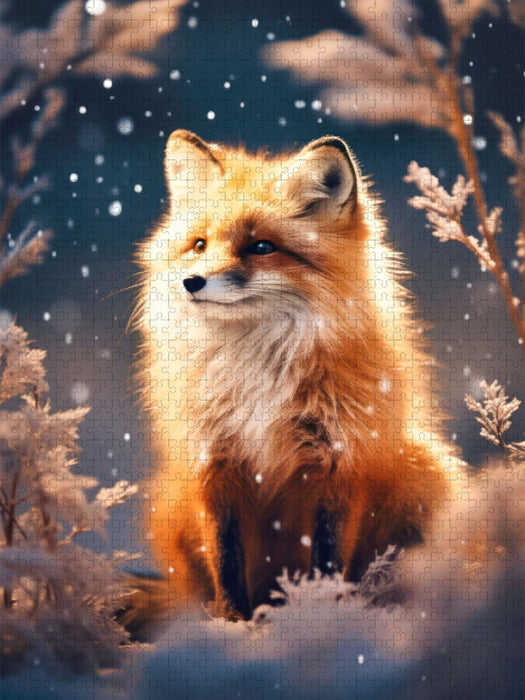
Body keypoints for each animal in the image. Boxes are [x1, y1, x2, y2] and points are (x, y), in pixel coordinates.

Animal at [134, 130, 463, 621]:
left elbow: (326, 558)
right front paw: (233, 623)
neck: (257, 371)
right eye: (199, 244)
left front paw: (324, 615)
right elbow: (225, 559)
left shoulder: (341, 461)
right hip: (170, 504)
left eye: (261, 247)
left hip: (426, 473)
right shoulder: (213, 463)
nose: (191, 281)